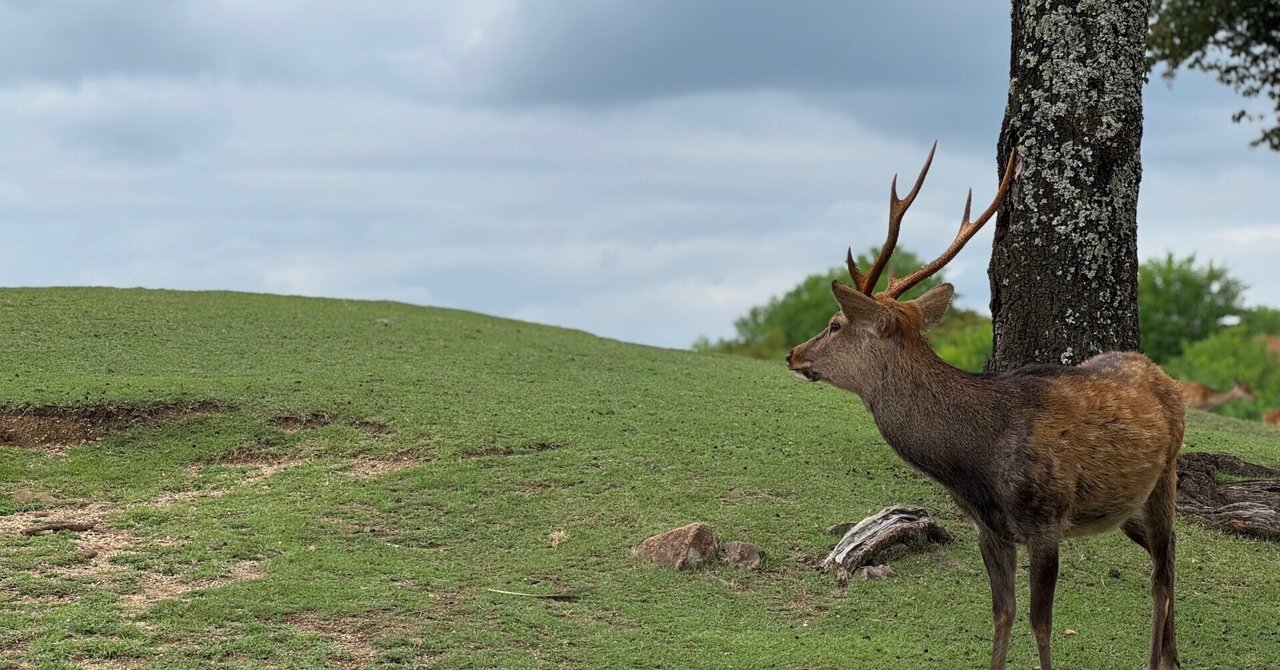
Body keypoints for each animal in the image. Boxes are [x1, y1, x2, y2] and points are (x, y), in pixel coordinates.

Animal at [786, 144, 1184, 670]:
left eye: (835, 324)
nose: (793, 354)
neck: (976, 462)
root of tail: (1164, 375)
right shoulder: (988, 528)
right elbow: (1002, 616)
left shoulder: (1046, 522)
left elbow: (1041, 623)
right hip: (1125, 507)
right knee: (1169, 560)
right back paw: (1172, 654)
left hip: (1165, 476)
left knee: (1161, 574)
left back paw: (1158, 659)